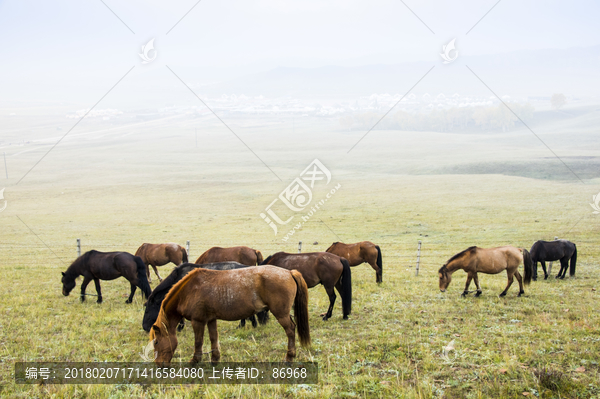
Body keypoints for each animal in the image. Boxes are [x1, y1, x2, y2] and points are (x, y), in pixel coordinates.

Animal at [148, 266, 312, 366]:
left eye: (156, 342)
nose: (159, 365)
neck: (189, 290)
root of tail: (289, 272)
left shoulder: (198, 321)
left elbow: (198, 342)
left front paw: (195, 360)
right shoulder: (211, 319)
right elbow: (213, 338)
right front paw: (215, 359)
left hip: (281, 315)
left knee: (290, 331)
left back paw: (289, 357)